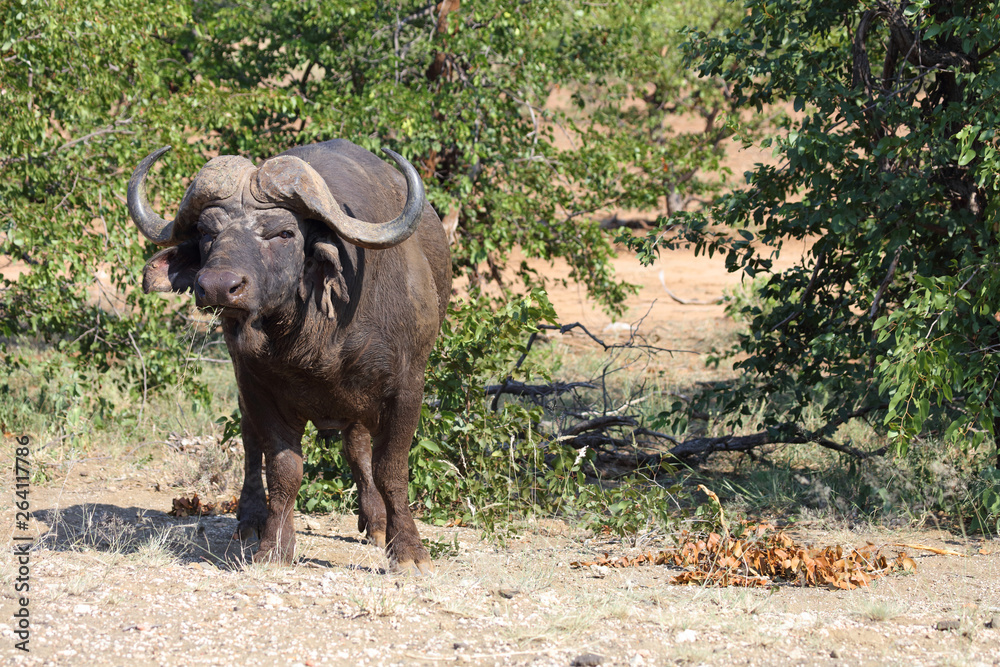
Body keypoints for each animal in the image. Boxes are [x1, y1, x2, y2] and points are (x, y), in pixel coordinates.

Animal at [127, 140, 450, 573]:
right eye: (207, 232)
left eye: (283, 232)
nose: (218, 287)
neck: (313, 337)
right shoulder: (258, 388)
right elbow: (283, 469)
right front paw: (275, 546)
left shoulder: (407, 387)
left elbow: (390, 469)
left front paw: (409, 551)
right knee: (251, 442)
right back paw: (251, 520)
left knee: (358, 449)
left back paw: (375, 520)